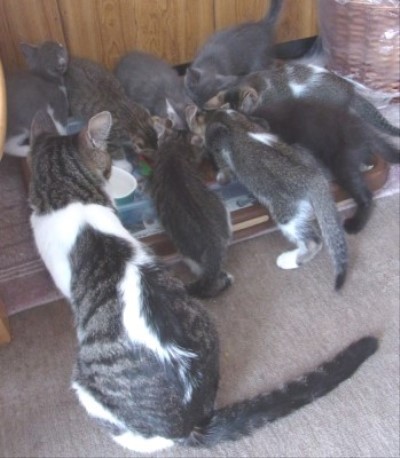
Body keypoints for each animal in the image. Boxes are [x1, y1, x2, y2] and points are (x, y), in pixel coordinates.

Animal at [187, 106, 348, 290]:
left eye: (196, 117)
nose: (193, 110)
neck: (223, 116)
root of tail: (316, 178)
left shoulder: (218, 141)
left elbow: (224, 168)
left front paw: (220, 175)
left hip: (286, 212)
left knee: (313, 241)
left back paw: (289, 260)